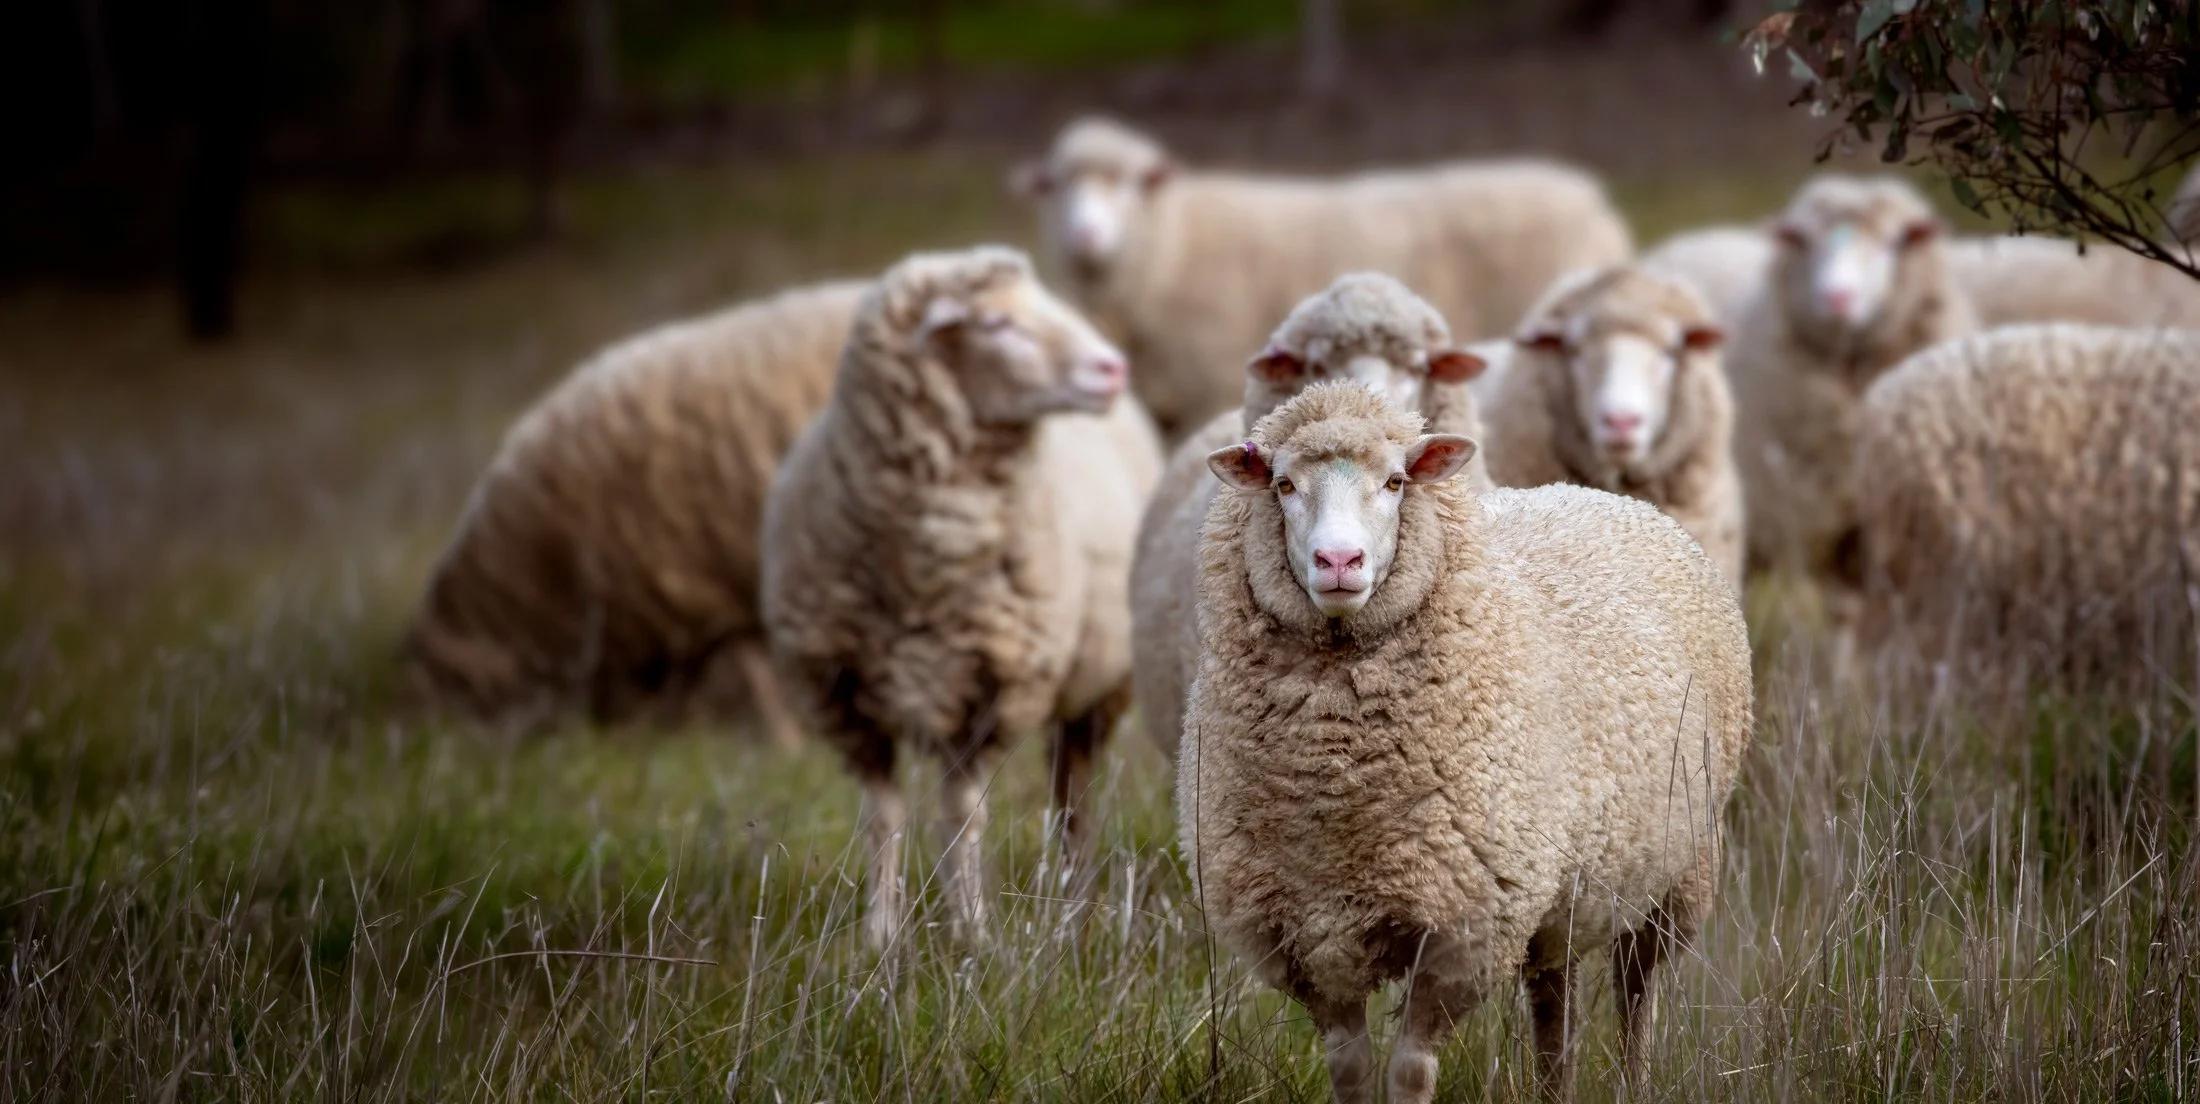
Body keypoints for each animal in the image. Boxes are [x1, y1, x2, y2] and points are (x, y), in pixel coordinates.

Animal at [760, 245, 1164, 948]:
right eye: (997, 324)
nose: (1113, 368)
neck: (926, 564)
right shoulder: (847, 702)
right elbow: (883, 818)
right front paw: (881, 936)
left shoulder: (990, 693)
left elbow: (962, 818)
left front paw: (974, 934)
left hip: (1095, 689)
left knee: (1075, 797)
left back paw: (1075, 904)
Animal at [1009, 116, 1633, 440]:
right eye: (1057, 187)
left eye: (1129, 184)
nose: (1085, 234)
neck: (1170, 241)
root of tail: (1591, 196)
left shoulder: (1201, 387)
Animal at [1181, 382, 1751, 1104]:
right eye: (1283, 484)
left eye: (1395, 481)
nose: (1338, 562)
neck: (1337, 790)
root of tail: (1597, 493)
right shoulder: (1310, 934)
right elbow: (1350, 1069)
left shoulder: (1464, 929)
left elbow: (1410, 1069)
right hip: (1559, 892)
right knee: (1554, 1003)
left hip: (1678, 871)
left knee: (1636, 994)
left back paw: (1635, 1082)